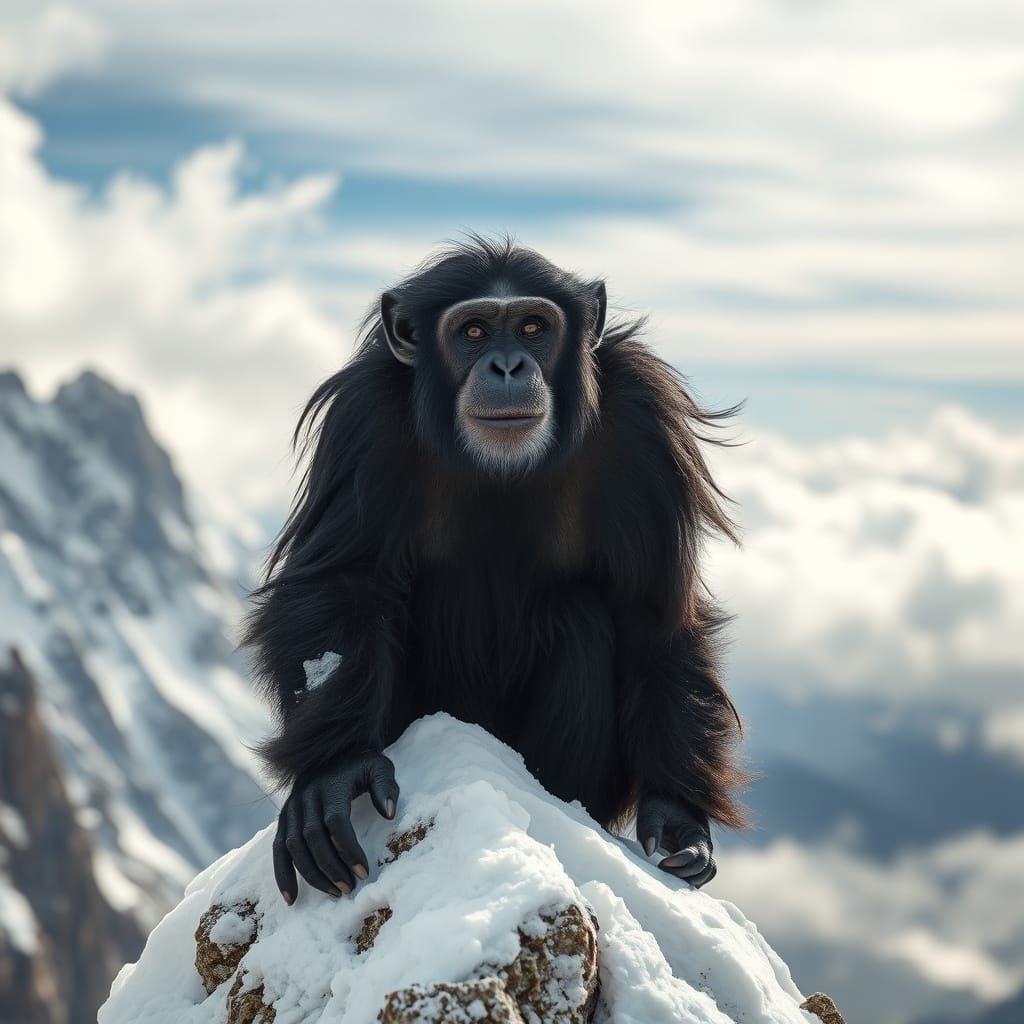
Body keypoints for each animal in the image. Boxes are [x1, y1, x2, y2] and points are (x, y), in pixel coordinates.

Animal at [244, 236, 749, 904]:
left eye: (533, 326)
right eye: (474, 330)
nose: (507, 365)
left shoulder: (648, 423)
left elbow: (653, 614)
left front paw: (678, 816)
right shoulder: (362, 417)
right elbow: (344, 581)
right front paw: (335, 772)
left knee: (580, 617)